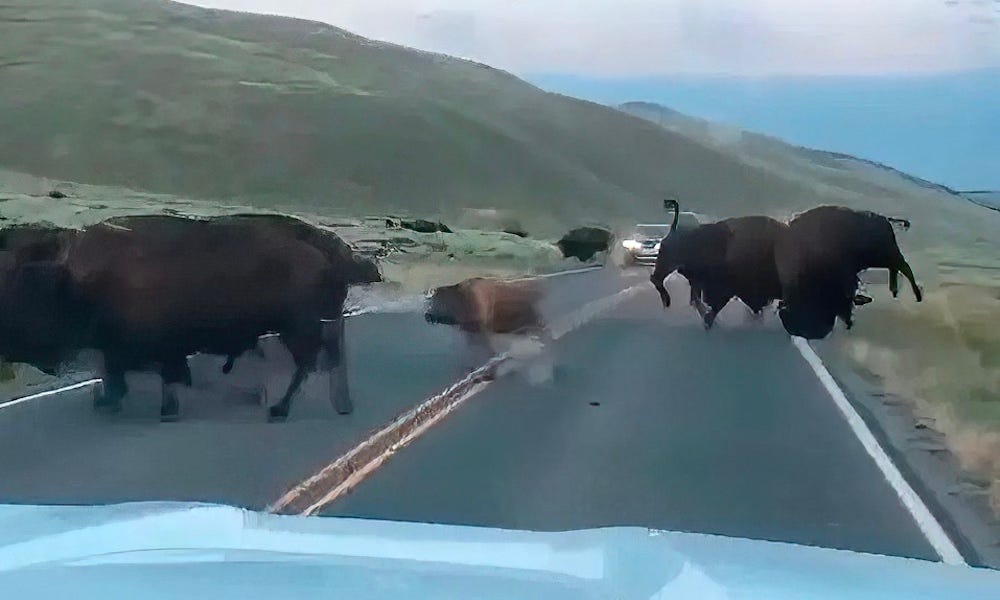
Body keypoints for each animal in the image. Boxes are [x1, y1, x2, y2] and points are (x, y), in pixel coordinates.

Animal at [0, 214, 381, 421]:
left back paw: (280, 410)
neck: (74, 276)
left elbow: (153, 375)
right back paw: (339, 405)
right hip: (315, 325)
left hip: (298, 329)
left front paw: (158, 408)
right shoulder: (121, 349)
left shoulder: (146, 346)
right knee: (329, 358)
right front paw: (109, 401)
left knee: (310, 364)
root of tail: (330, 250)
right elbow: (120, 374)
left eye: (18, 284)